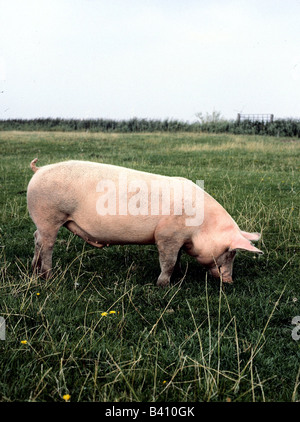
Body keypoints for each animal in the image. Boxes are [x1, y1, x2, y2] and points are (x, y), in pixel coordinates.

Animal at [27, 158, 262, 286]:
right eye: (231, 252)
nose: (230, 282)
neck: (202, 226)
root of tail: (39, 170)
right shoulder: (166, 235)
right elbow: (167, 261)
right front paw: (163, 285)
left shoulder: (177, 240)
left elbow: (176, 258)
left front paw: (178, 275)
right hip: (49, 216)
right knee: (47, 244)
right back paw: (48, 275)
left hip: (43, 221)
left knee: (36, 238)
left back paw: (34, 269)